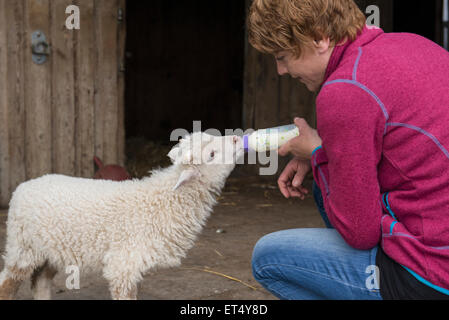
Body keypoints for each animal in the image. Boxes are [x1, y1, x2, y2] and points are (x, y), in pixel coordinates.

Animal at [0, 131, 243, 298]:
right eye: (211, 154)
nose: (237, 139)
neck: (163, 202)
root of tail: (24, 186)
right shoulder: (123, 265)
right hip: (22, 247)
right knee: (7, 283)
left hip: (52, 249)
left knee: (40, 281)